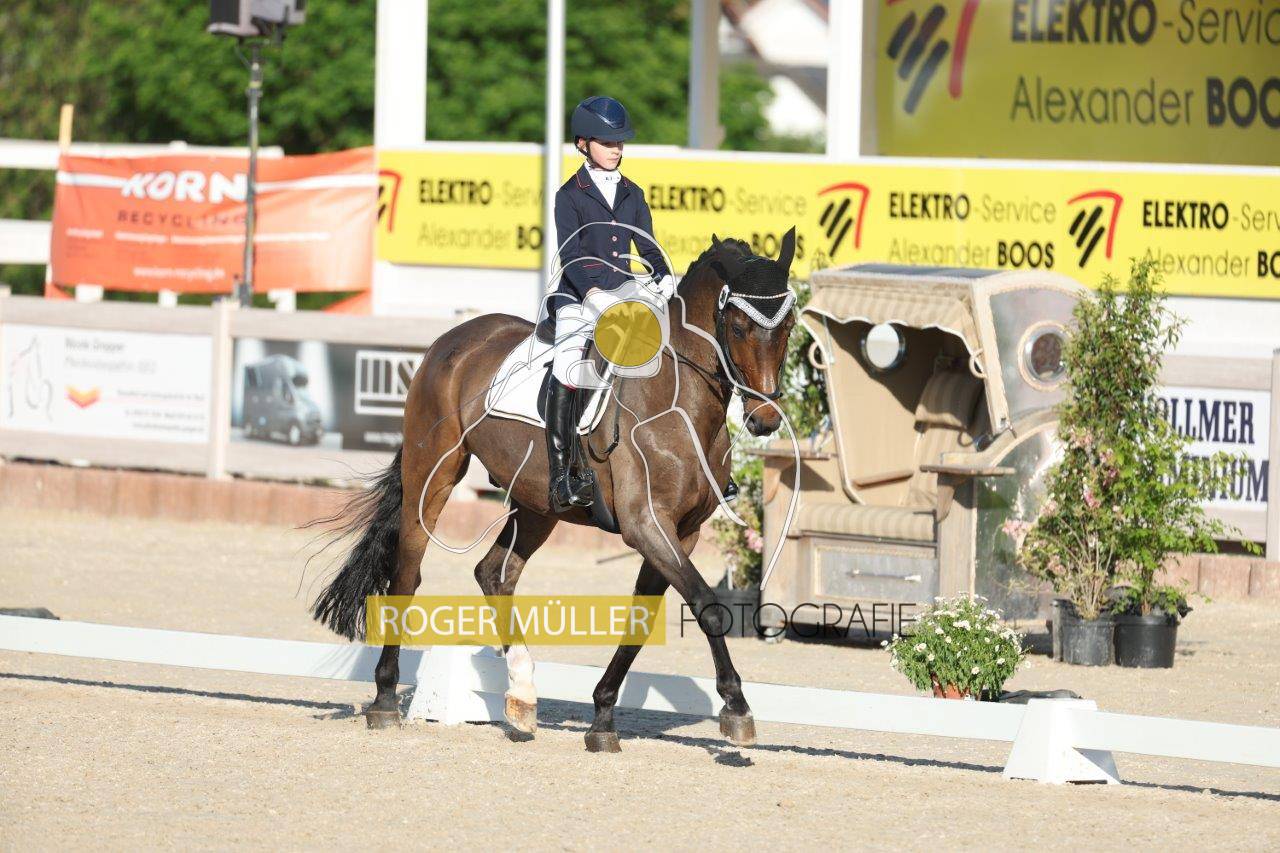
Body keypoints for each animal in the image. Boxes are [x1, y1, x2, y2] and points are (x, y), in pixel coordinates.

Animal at [311, 228, 799, 752]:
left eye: (789, 326)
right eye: (738, 326)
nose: (765, 419)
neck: (680, 401)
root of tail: (452, 340)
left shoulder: (680, 533)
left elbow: (642, 619)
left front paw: (602, 716)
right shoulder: (647, 524)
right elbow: (708, 607)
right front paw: (737, 709)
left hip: (537, 504)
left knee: (494, 573)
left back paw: (522, 696)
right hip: (433, 472)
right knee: (407, 571)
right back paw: (384, 699)